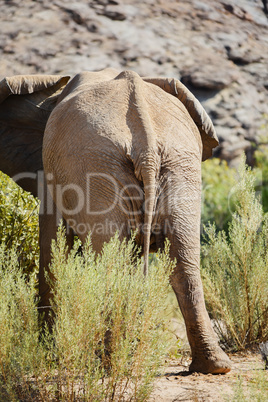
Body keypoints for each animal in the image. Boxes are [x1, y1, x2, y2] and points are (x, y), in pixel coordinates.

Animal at [0, 68, 230, 374]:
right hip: (178, 165)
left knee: (114, 262)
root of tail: (146, 143)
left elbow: (52, 247)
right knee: (182, 260)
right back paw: (213, 366)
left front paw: (47, 351)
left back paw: (107, 362)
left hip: (97, 170)